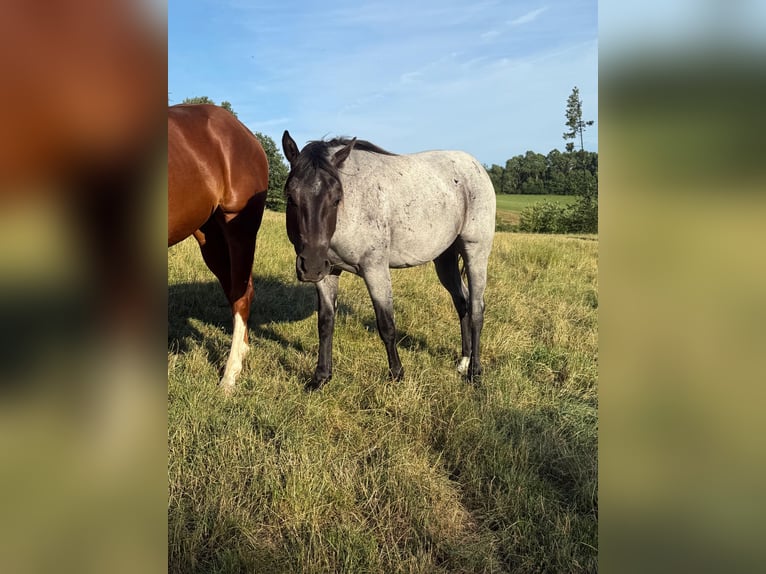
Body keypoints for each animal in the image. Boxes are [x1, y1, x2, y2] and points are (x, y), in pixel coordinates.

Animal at [281, 131, 495, 389]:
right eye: (291, 196)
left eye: (336, 198)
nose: (311, 266)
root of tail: (476, 166)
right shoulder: (327, 273)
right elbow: (325, 323)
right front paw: (321, 377)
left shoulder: (375, 269)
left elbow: (386, 325)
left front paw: (397, 375)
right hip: (445, 259)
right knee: (462, 302)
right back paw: (464, 361)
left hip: (476, 252)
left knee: (476, 309)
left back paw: (475, 371)